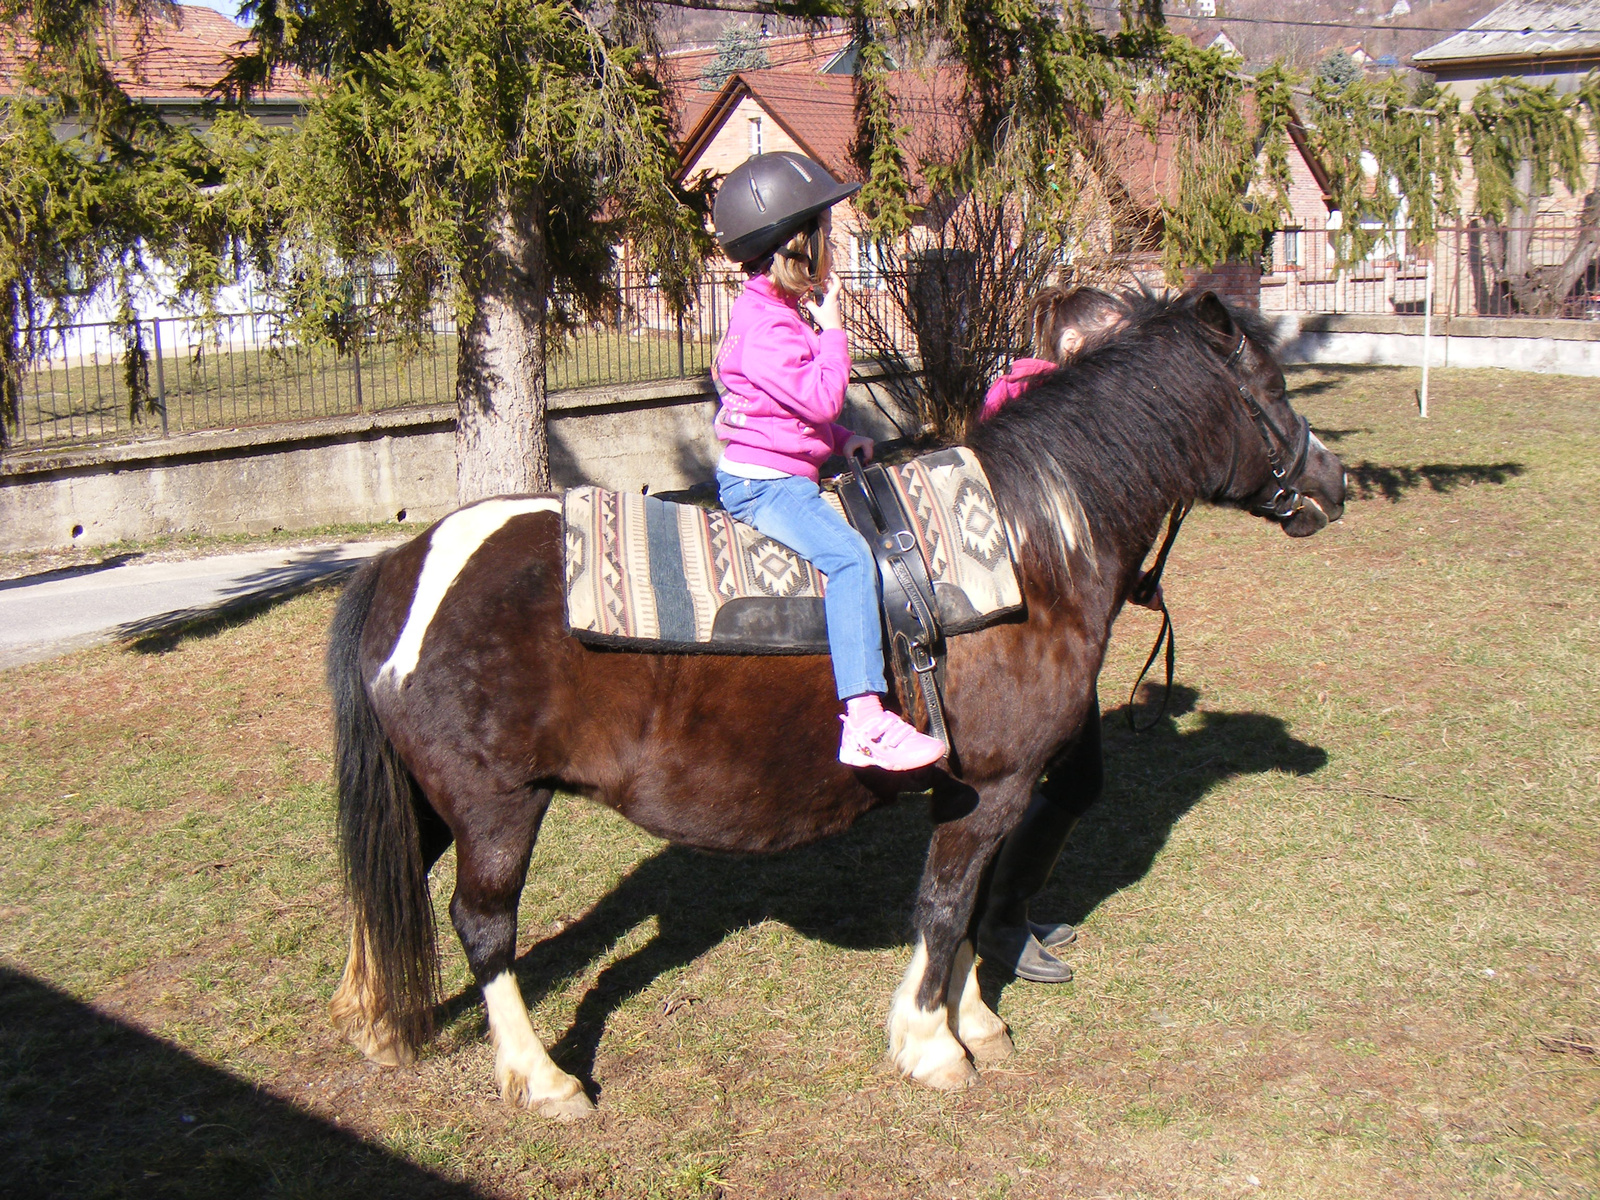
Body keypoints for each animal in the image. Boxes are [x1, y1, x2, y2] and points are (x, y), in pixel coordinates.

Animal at [318, 289, 1344, 1120]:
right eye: (1273, 392)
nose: (1331, 483)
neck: (1028, 549)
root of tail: (407, 563)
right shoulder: (994, 788)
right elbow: (945, 905)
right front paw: (933, 1045)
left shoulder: (986, 794)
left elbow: (970, 905)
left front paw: (974, 1018)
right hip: (498, 809)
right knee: (483, 927)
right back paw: (541, 1077)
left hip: (431, 798)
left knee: (388, 874)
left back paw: (374, 1019)